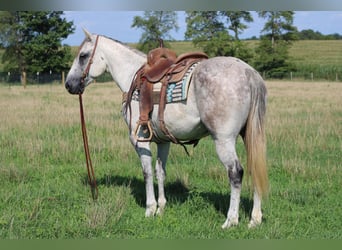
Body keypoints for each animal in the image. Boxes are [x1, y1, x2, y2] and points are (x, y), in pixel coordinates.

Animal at [64, 29, 268, 229]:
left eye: (83, 56)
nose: (69, 84)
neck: (132, 76)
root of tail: (249, 73)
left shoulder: (138, 139)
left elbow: (147, 172)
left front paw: (150, 208)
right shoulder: (163, 141)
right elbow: (160, 172)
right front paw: (161, 208)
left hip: (223, 140)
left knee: (235, 173)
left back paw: (231, 220)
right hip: (249, 136)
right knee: (254, 168)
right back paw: (254, 219)